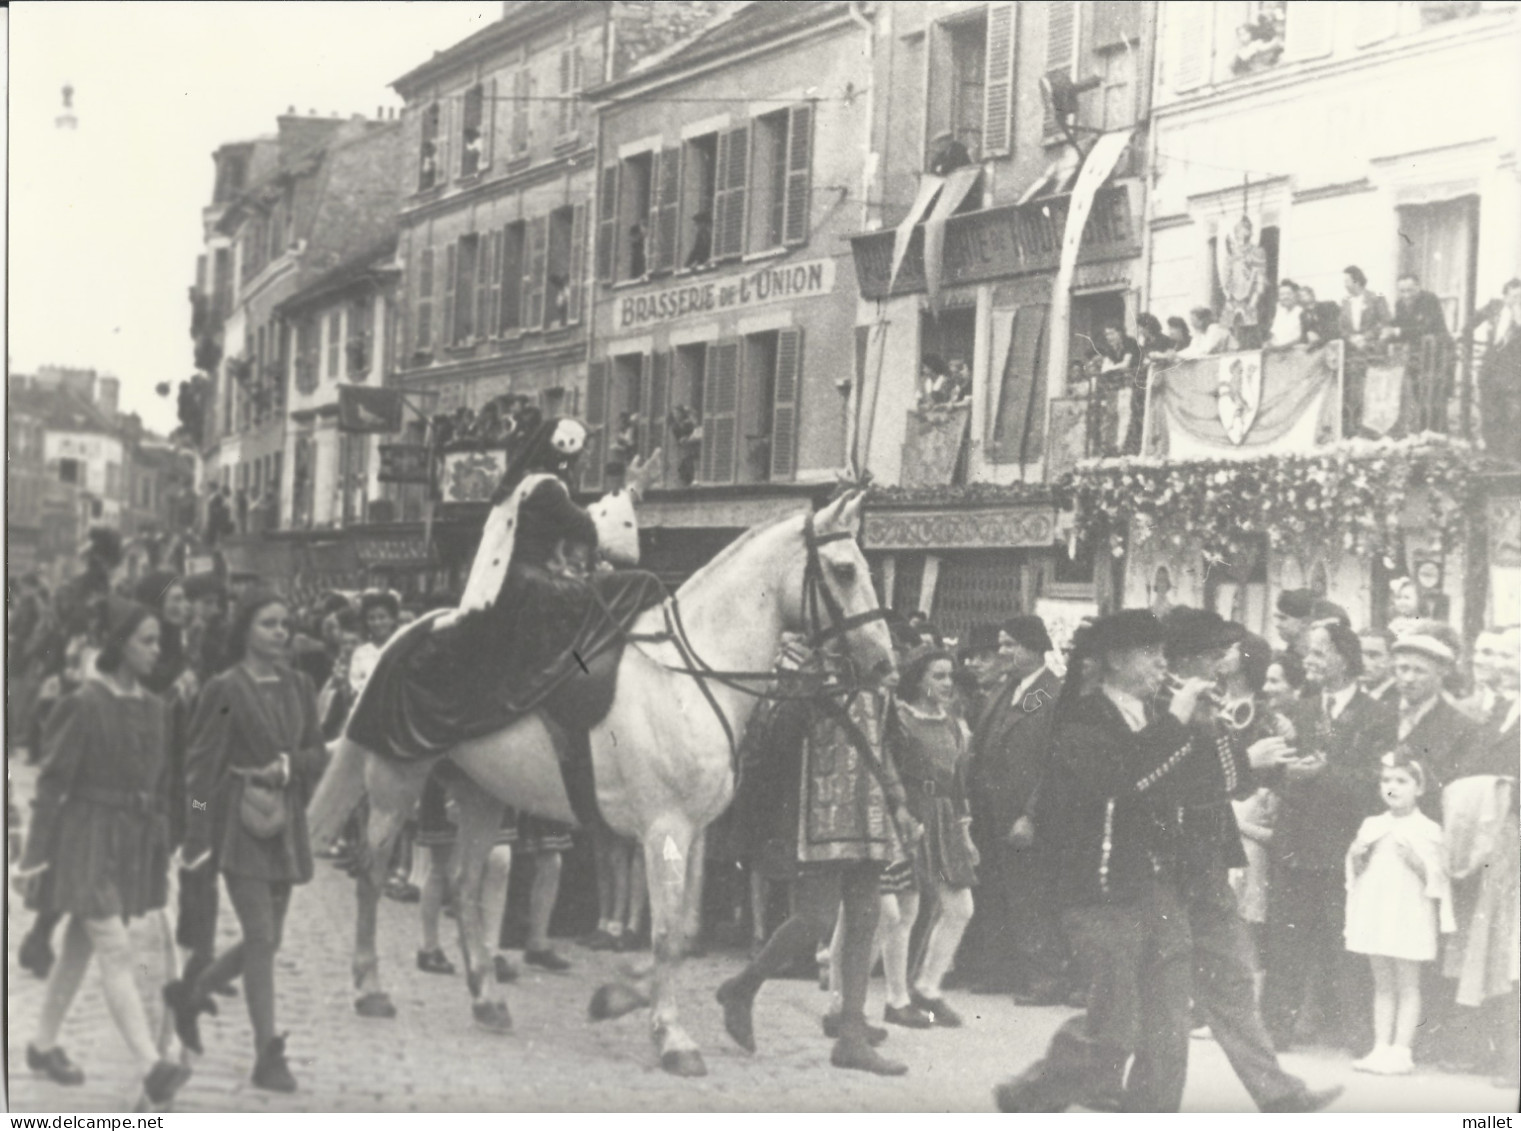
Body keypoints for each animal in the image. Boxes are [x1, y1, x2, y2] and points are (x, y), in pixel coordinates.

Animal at [310, 492, 894, 1076]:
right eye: (845, 570)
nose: (885, 665)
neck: (687, 680)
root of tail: (411, 632)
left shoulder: (696, 834)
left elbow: (682, 931)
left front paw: (623, 999)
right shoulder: (664, 829)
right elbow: (664, 934)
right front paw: (672, 1037)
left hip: (482, 795)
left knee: (464, 885)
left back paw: (488, 1000)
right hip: (396, 780)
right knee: (372, 873)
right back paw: (372, 989)